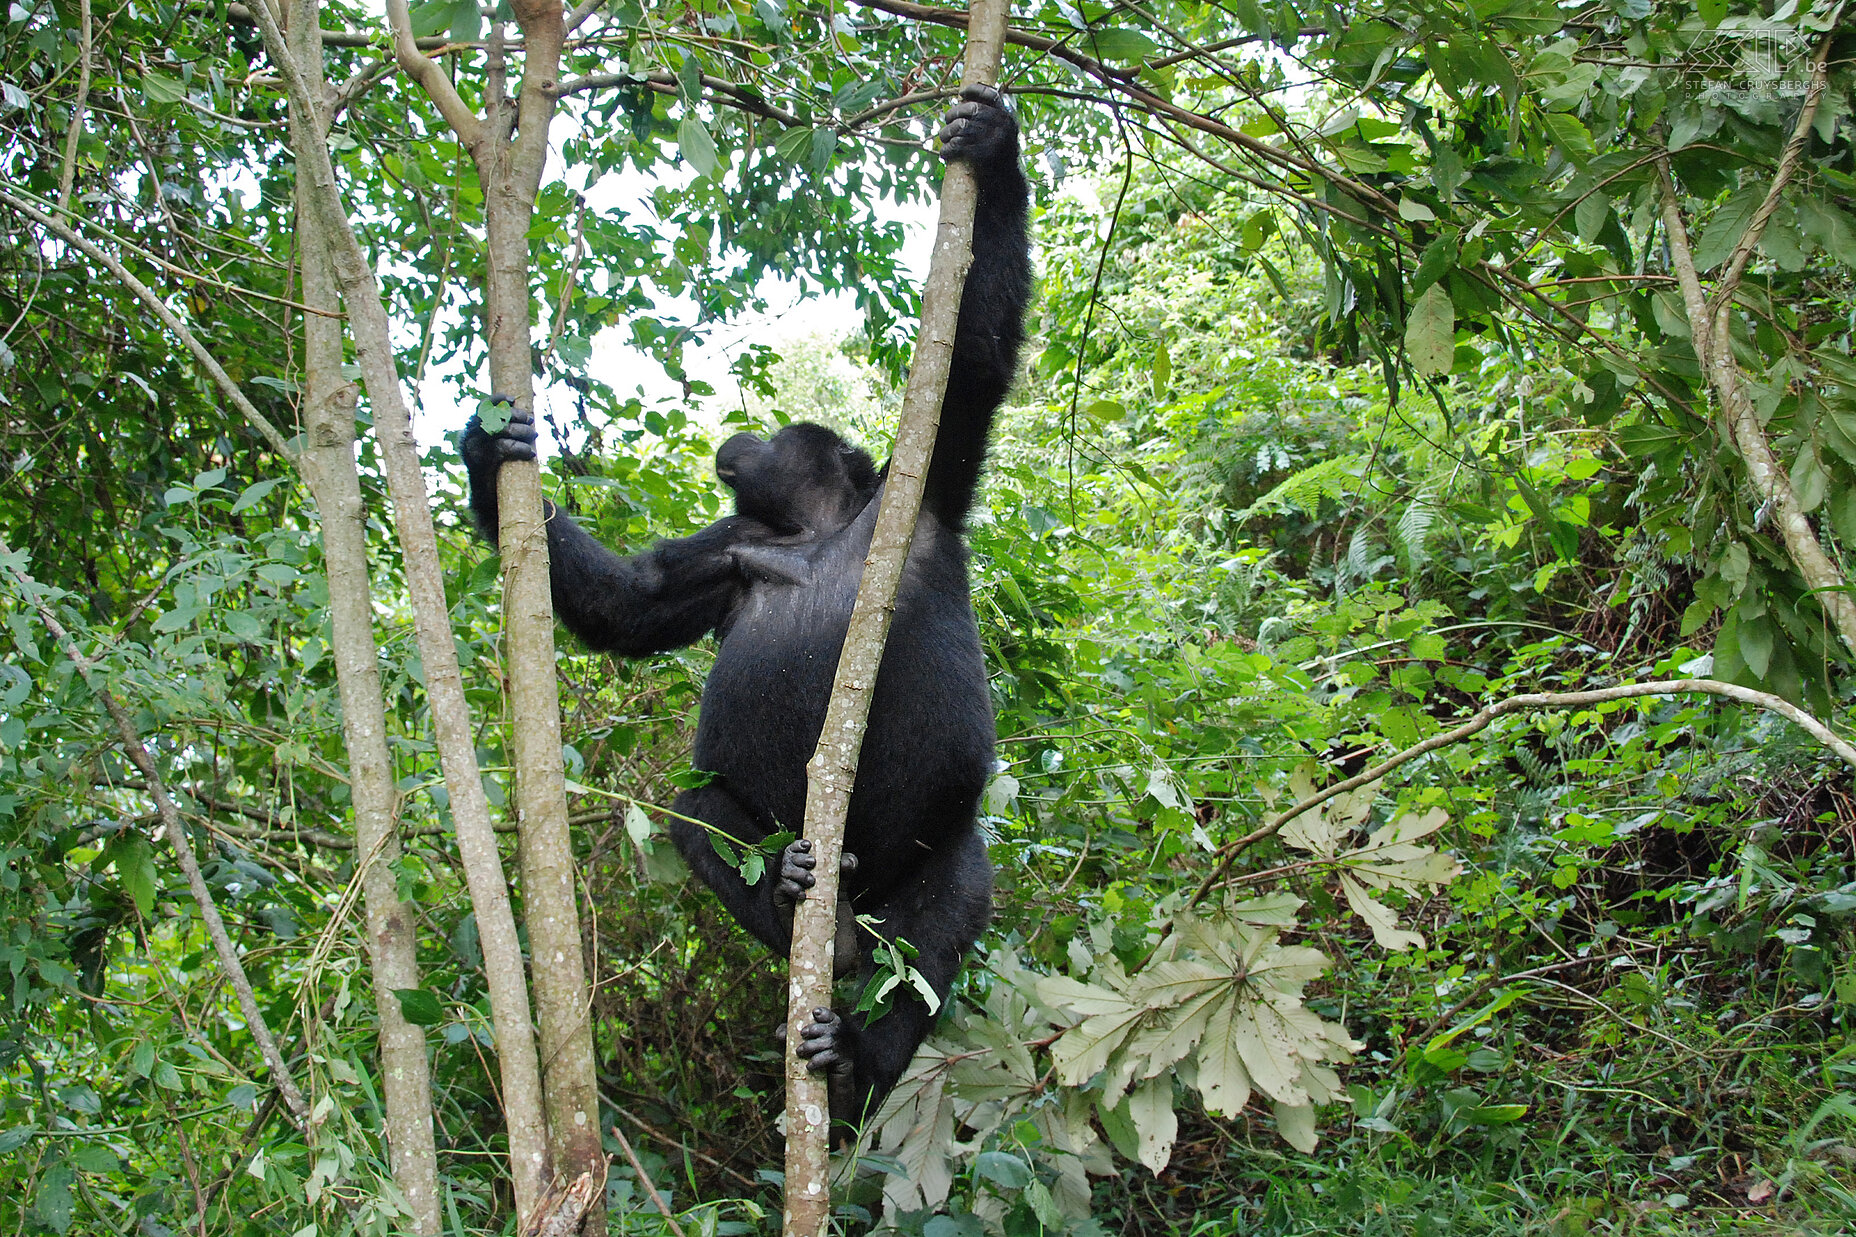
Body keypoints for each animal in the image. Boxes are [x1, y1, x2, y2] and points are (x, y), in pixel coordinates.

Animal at [462, 89, 1031, 1129]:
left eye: (780, 432)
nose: (744, 431)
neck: (817, 528)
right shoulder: (728, 551)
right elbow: (635, 603)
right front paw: (490, 457)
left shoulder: (923, 488)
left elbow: (973, 355)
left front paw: (995, 152)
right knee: (701, 815)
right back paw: (793, 892)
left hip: (919, 865)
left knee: (948, 907)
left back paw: (857, 1060)